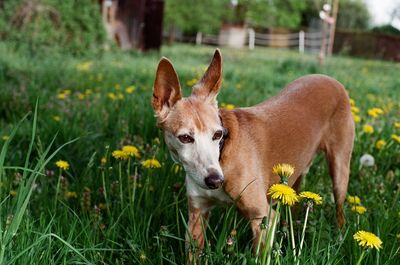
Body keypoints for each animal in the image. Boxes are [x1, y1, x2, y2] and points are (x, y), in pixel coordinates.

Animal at [151, 49, 354, 256]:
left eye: (217, 134)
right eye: (185, 138)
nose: (216, 181)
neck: (222, 155)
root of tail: (330, 79)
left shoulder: (262, 218)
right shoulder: (197, 217)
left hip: (339, 172)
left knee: (340, 211)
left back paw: (339, 237)